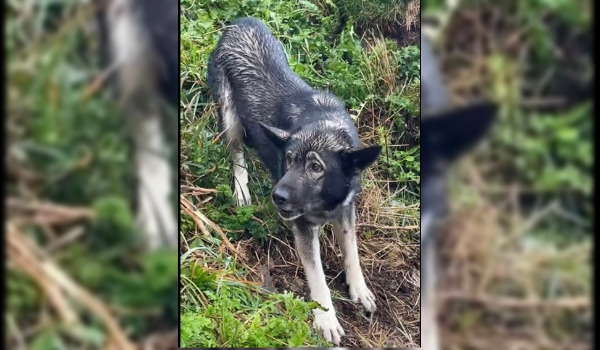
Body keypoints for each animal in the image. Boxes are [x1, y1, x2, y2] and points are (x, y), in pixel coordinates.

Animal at [209, 17, 382, 344]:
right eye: (288, 159)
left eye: (316, 167)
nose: (277, 196)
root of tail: (240, 22)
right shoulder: (302, 226)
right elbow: (317, 276)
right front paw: (326, 318)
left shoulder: (346, 210)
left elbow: (352, 251)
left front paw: (359, 288)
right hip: (229, 116)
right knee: (236, 152)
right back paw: (241, 190)